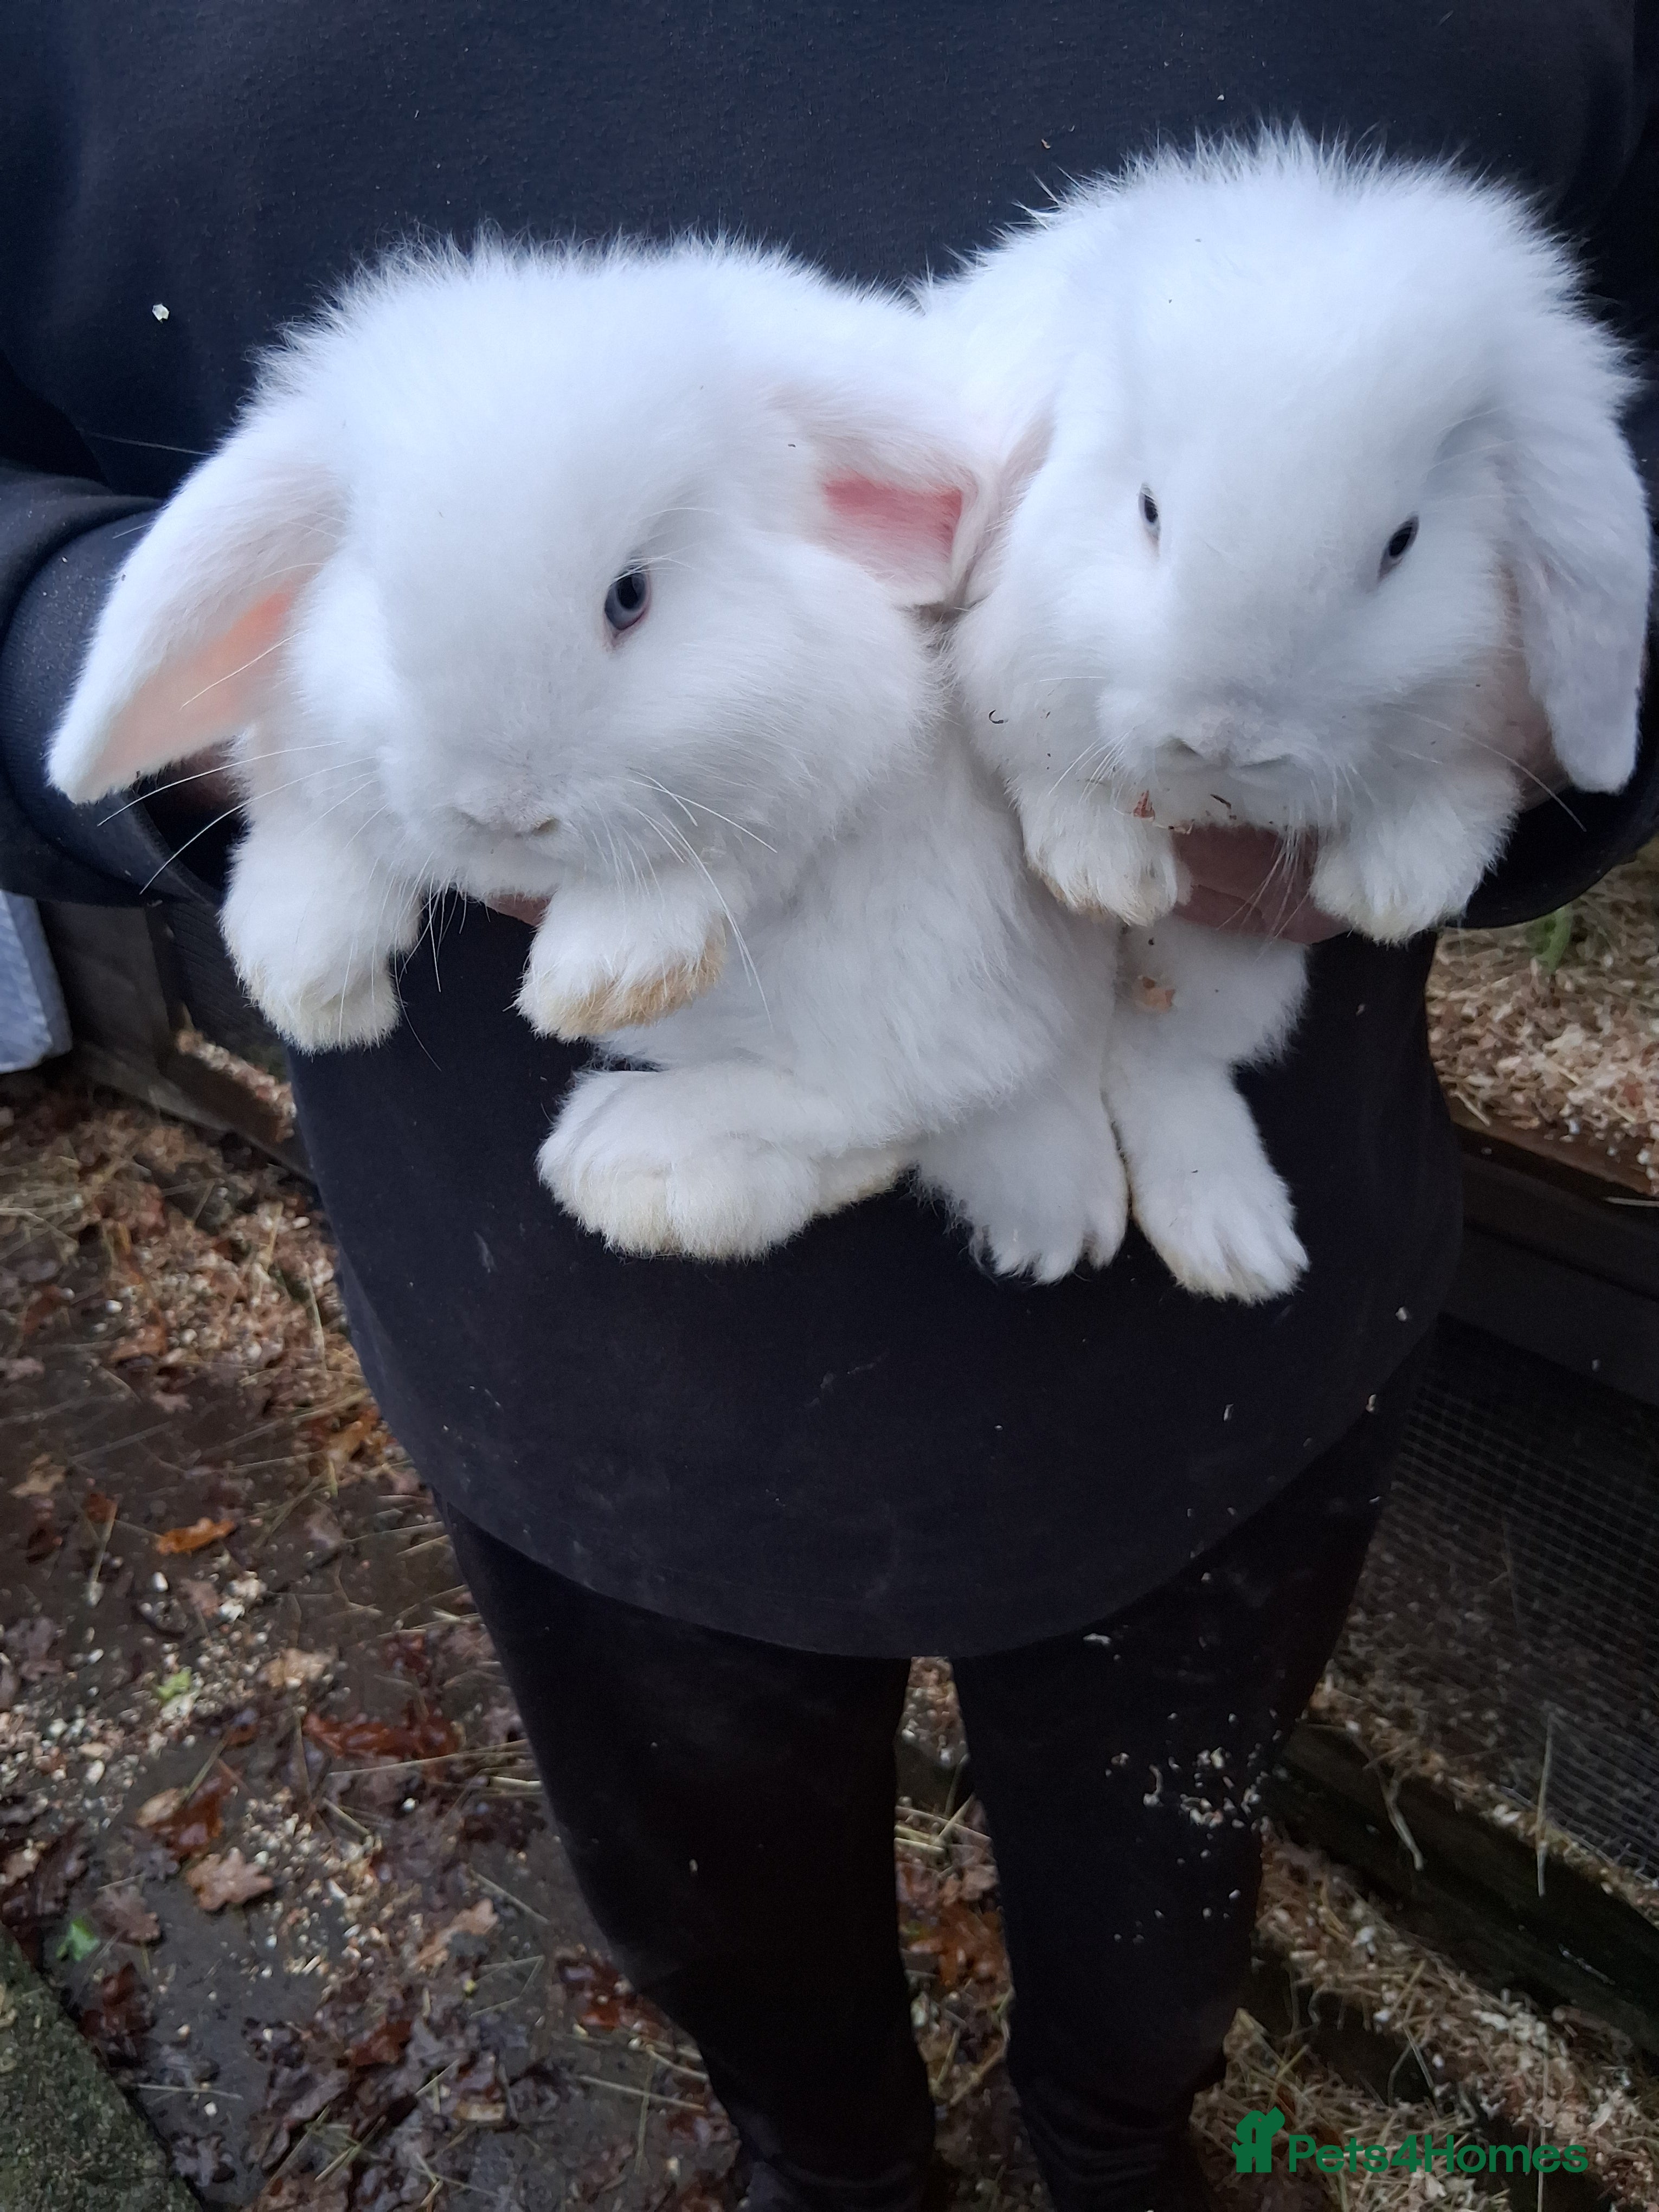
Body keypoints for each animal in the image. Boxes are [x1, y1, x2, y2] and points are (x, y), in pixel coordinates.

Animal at [50, 239, 1128, 1279]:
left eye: (630, 596)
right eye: (385, 606)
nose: (503, 810)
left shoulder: (842, 744)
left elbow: (734, 848)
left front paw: (600, 970)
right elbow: (312, 808)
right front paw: (304, 971)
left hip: (922, 976)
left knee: (893, 1091)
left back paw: (633, 1159)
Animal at [926, 132, 1652, 1300]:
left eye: (1402, 544)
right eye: (1149, 511)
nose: (1222, 739)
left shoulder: (1475, 715)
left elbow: (1455, 788)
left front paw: (1396, 887)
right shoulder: (1019, 678)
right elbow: (1044, 755)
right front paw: (1105, 870)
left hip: (1222, 973)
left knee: (1152, 1061)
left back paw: (1229, 1238)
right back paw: (1052, 1218)